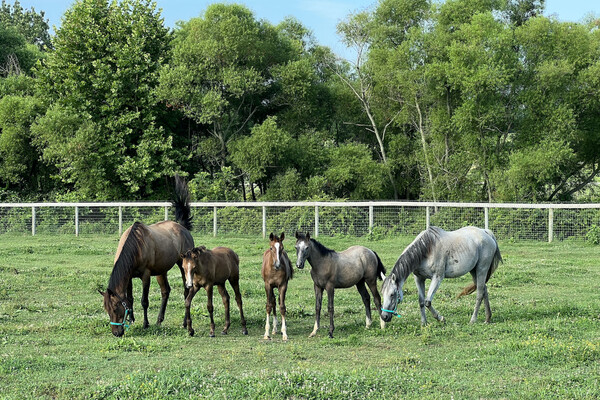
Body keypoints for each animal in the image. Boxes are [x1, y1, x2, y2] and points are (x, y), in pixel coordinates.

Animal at [98, 177, 192, 336]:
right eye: (106, 309)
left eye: (116, 308)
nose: (116, 333)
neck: (136, 247)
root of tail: (182, 227)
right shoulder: (129, 277)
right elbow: (130, 299)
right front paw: (131, 319)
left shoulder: (146, 276)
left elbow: (144, 301)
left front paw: (145, 324)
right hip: (161, 271)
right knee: (165, 291)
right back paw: (159, 320)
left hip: (182, 265)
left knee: (186, 291)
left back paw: (184, 323)